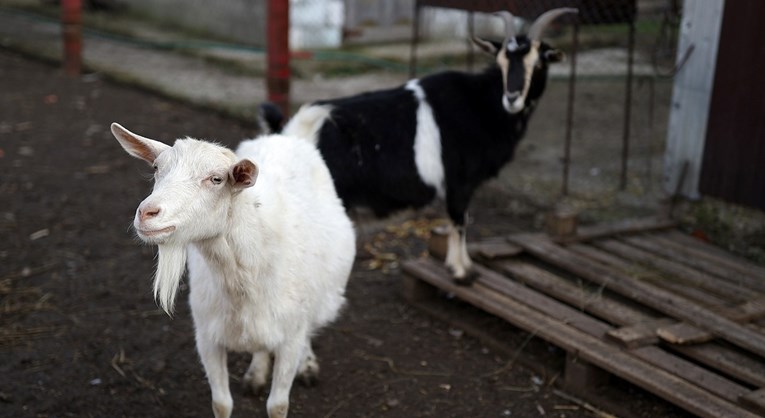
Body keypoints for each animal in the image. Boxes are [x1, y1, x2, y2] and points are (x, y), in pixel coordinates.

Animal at [112, 123, 356, 418]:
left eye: (216, 179)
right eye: (157, 167)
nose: (147, 213)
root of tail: (287, 135)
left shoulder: (290, 338)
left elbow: (278, 405)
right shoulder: (207, 337)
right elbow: (221, 402)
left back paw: (307, 365)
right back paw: (256, 374)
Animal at [274, 8, 572, 282]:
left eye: (539, 63)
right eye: (501, 62)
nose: (511, 97)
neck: (481, 105)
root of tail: (295, 134)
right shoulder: (459, 182)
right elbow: (459, 221)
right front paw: (462, 271)